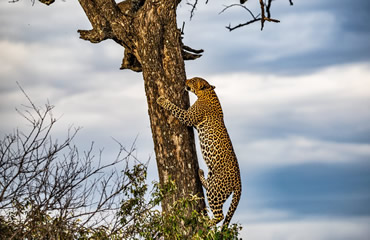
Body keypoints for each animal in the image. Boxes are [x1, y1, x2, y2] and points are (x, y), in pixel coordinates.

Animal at [157, 77, 241, 227]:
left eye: (193, 80)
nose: (185, 80)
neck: (207, 92)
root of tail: (239, 183)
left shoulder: (188, 117)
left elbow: (175, 108)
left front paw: (162, 100)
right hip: (214, 182)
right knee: (208, 186)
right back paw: (200, 173)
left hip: (216, 190)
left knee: (220, 215)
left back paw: (205, 222)